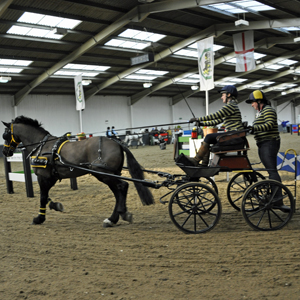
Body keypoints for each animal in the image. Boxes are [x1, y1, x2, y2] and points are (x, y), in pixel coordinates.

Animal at [1, 116, 154, 226]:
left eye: (5, 135)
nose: (4, 152)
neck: (42, 146)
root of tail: (117, 142)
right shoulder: (51, 178)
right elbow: (46, 196)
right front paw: (55, 206)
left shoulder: (43, 177)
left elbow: (42, 197)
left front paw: (39, 218)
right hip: (109, 174)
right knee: (118, 192)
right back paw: (114, 218)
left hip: (103, 174)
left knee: (123, 186)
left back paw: (118, 215)